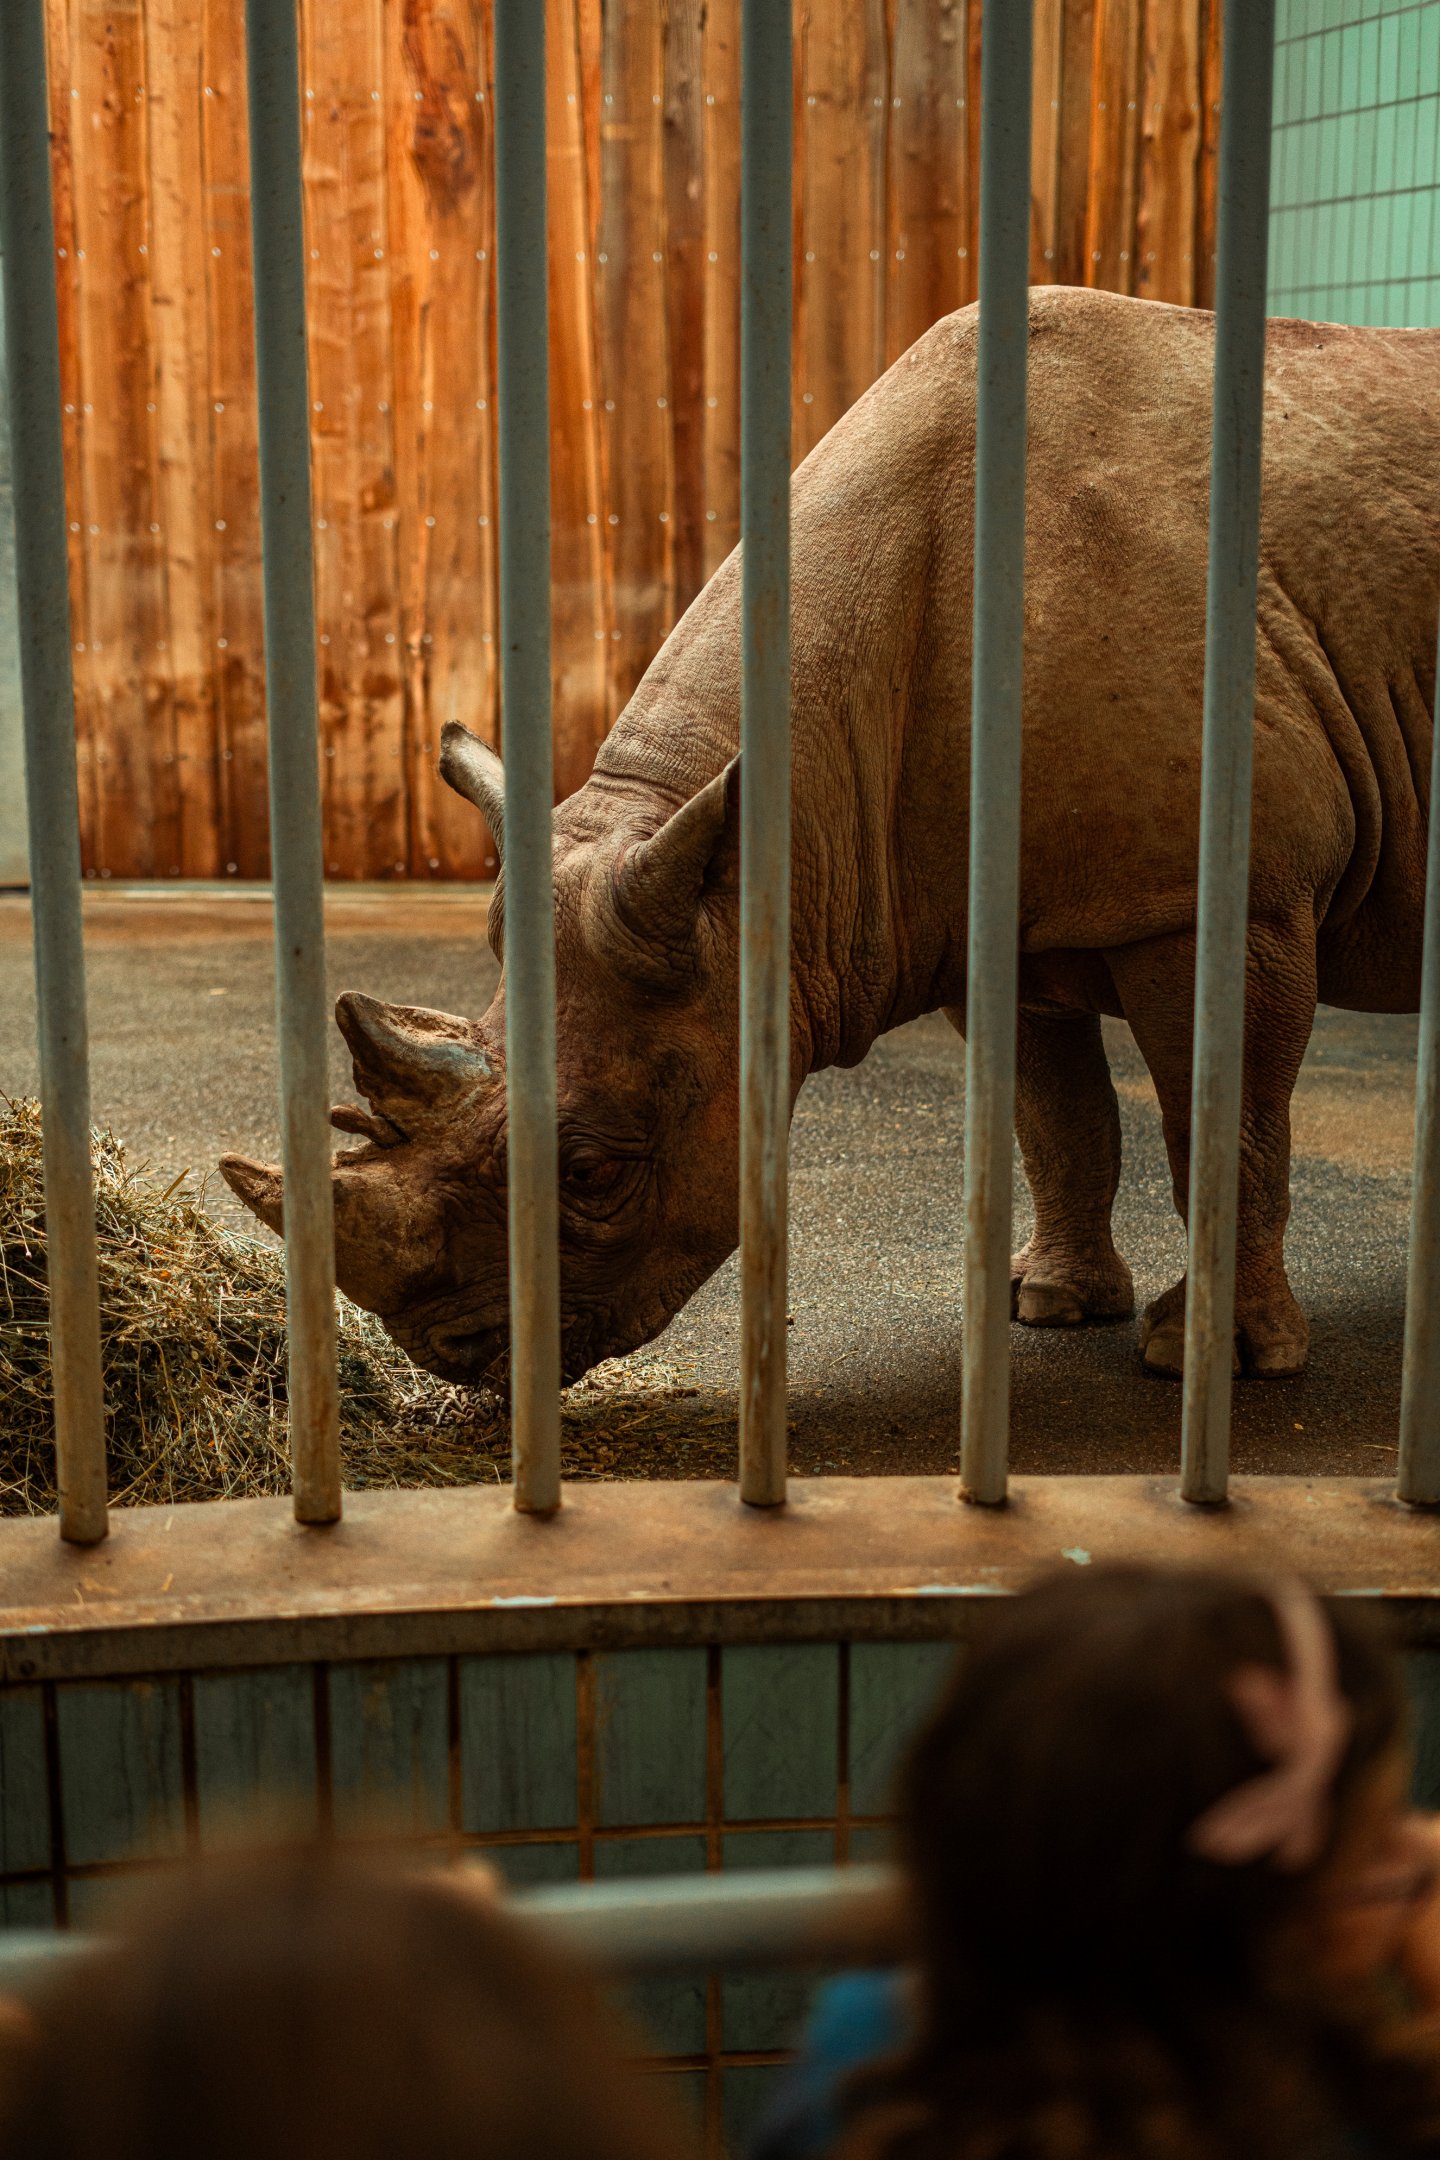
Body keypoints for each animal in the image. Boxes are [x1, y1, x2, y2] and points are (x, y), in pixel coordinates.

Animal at [221, 285, 1439, 1389]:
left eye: (591, 1171)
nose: (452, 1355)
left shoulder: (1219, 895)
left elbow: (1225, 1126)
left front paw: (1212, 1362)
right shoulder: (988, 908)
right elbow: (1058, 1118)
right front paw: (1049, 1305)